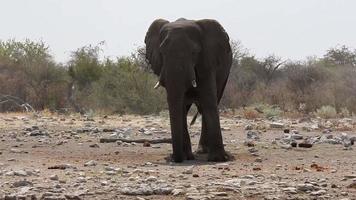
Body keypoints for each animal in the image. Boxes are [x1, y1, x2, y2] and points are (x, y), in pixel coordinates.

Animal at [145, 18, 234, 162]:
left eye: (194, 53)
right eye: (162, 52)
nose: (175, 159)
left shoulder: (207, 62)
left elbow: (209, 101)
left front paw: (218, 159)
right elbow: (180, 105)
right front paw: (187, 157)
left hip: (225, 75)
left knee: (210, 103)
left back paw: (203, 151)